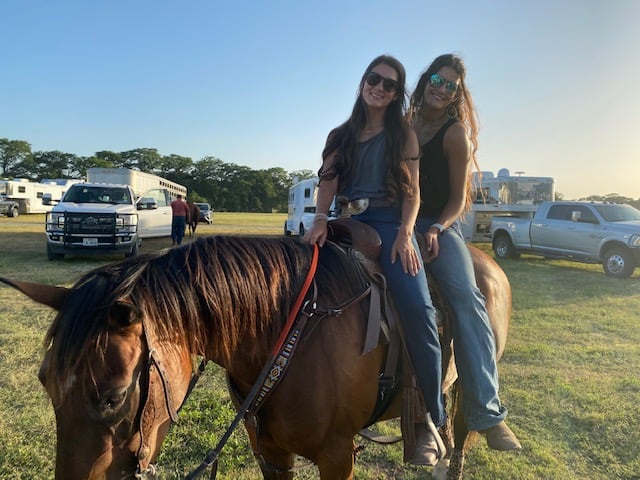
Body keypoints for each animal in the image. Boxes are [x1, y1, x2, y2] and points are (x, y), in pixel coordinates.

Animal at [0, 230, 510, 480]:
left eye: (113, 396)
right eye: (45, 383)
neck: (288, 333)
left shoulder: (337, 457)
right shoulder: (270, 452)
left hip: (470, 386)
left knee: (463, 436)